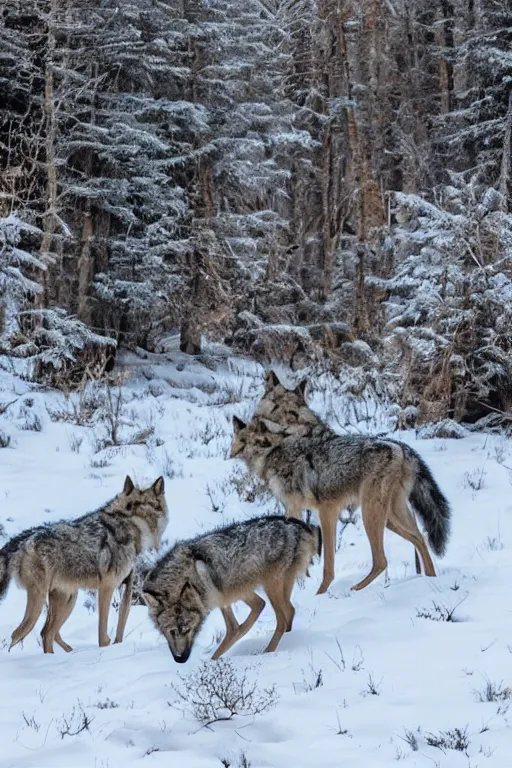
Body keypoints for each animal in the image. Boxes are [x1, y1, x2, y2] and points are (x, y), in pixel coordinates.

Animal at [142, 512, 322, 664]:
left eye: (188, 629)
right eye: (171, 631)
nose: (180, 659)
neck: (190, 576)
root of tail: (299, 524)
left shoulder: (225, 600)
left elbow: (235, 630)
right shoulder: (234, 596)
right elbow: (244, 620)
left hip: (271, 588)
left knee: (282, 620)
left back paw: (268, 652)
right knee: (290, 611)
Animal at [230, 372, 450, 592]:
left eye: (287, 410)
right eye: (273, 406)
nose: (255, 420)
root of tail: (401, 448)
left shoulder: (321, 509)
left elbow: (327, 563)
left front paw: (317, 591)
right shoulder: (312, 509)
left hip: (372, 516)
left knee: (382, 560)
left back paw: (356, 588)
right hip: (390, 517)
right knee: (420, 538)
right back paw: (430, 579)